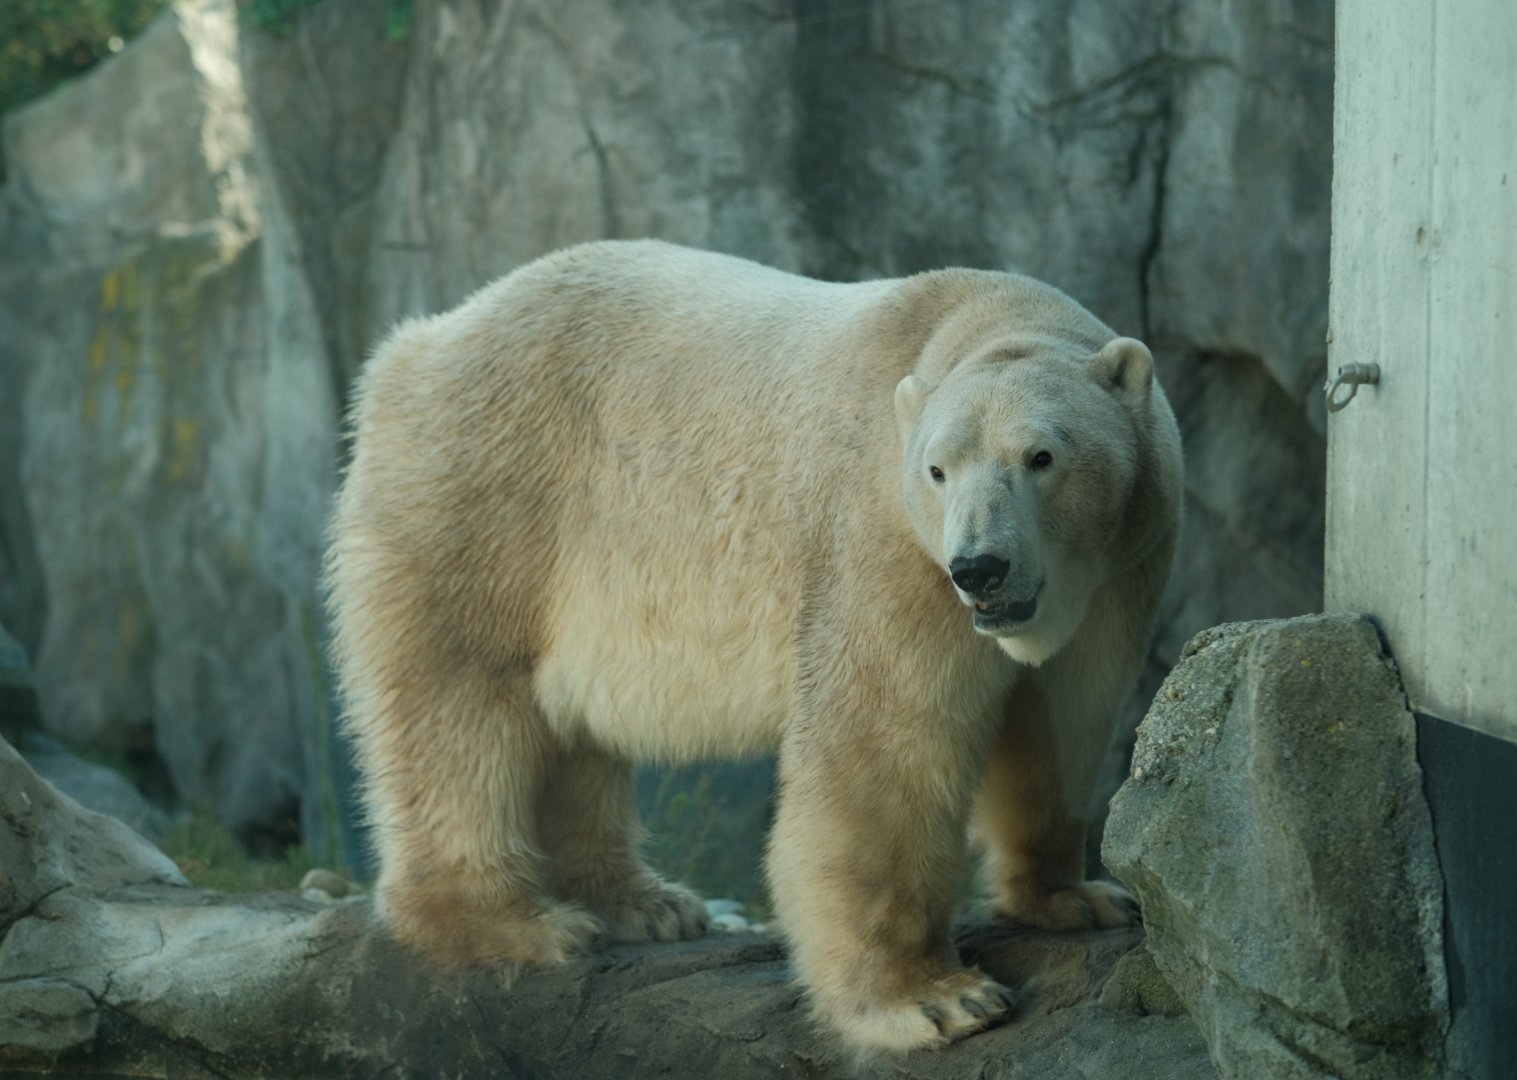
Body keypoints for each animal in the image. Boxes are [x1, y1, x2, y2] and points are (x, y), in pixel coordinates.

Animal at [325, 240, 1183, 1054]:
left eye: (1041, 457)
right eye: (937, 470)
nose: (979, 567)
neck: (980, 319)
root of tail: (417, 344)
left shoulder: (1123, 563)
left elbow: (1065, 721)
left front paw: (1077, 898)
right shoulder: (889, 540)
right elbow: (884, 742)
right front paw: (931, 998)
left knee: (566, 730)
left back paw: (644, 905)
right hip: (488, 495)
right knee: (460, 706)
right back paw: (513, 922)